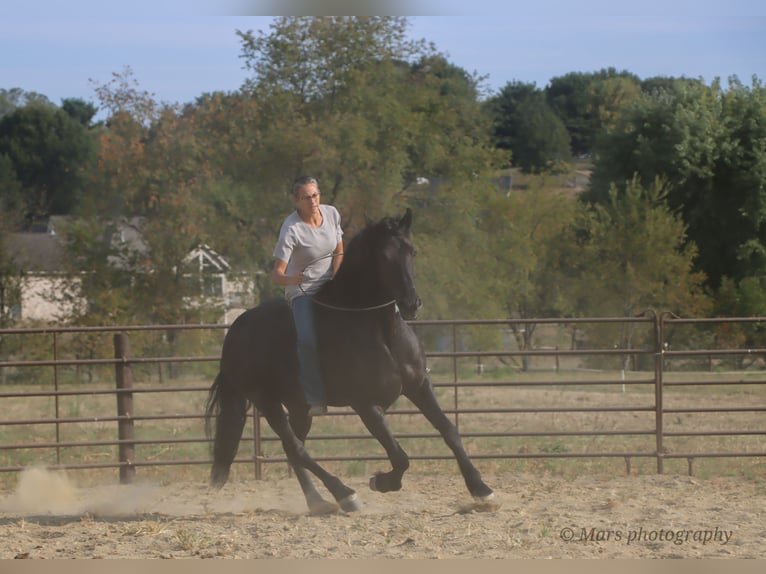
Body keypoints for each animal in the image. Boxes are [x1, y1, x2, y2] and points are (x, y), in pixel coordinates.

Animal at [205, 208, 494, 514]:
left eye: (412, 251)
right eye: (384, 256)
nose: (411, 304)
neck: (381, 332)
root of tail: (236, 330)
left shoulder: (419, 387)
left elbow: (449, 431)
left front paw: (481, 489)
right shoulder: (366, 405)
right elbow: (400, 456)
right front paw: (381, 482)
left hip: (299, 406)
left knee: (293, 449)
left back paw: (318, 502)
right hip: (267, 401)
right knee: (296, 447)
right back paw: (345, 495)